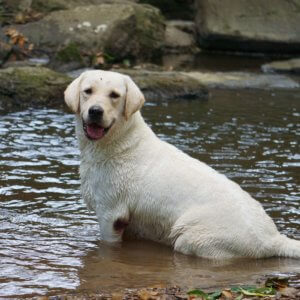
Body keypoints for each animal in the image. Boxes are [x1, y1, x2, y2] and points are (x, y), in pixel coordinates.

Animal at [64, 71, 298, 260]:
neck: (118, 143)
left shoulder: (111, 213)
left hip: (193, 236)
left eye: (114, 95)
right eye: (88, 91)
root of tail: (272, 239)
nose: (95, 111)